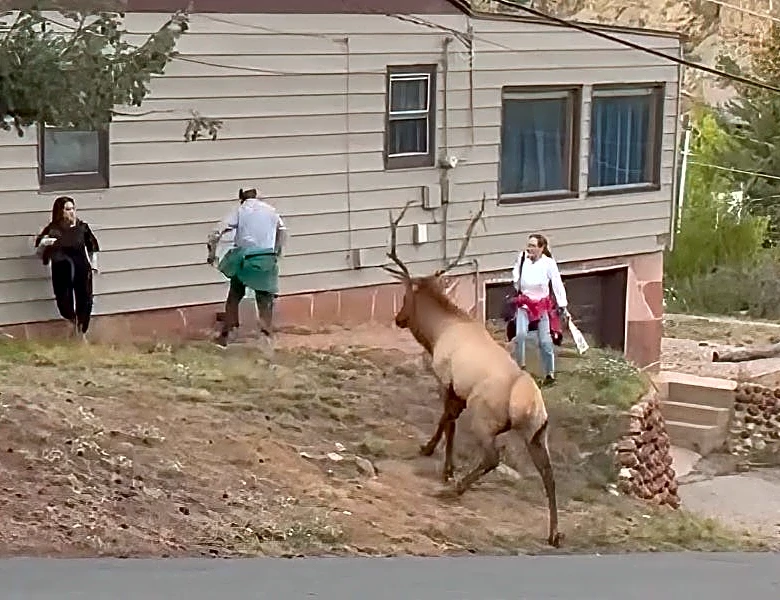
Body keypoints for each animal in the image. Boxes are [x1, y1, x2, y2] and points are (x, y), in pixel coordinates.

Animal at [381, 195, 562, 548]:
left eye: (405, 296)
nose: (398, 319)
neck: (437, 333)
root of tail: (530, 406)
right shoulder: (457, 391)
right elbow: (447, 420)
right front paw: (437, 457)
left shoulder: (447, 380)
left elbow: (446, 421)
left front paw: (440, 462)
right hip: (539, 433)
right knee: (549, 474)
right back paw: (553, 533)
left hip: (486, 417)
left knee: (493, 457)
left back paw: (456, 489)